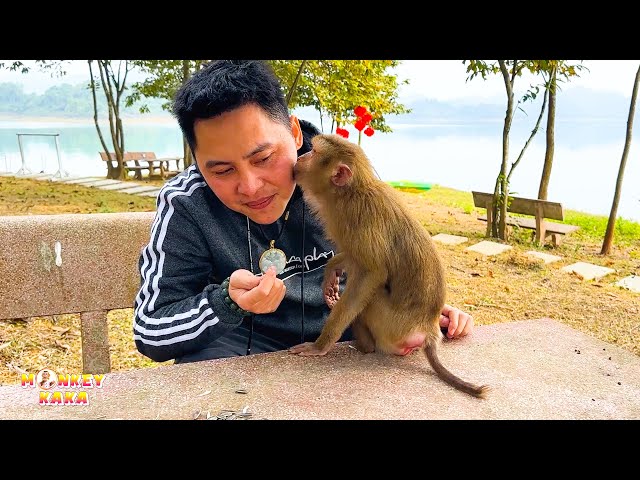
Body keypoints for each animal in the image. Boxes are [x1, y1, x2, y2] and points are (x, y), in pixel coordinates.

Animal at [290, 133, 490, 400]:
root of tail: (428, 328)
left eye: (313, 152)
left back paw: (365, 346)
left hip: (393, 326)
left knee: (369, 299)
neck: (349, 193)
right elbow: (354, 258)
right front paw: (331, 271)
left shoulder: (356, 217)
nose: (300, 157)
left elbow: (372, 272)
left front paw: (320, 345)